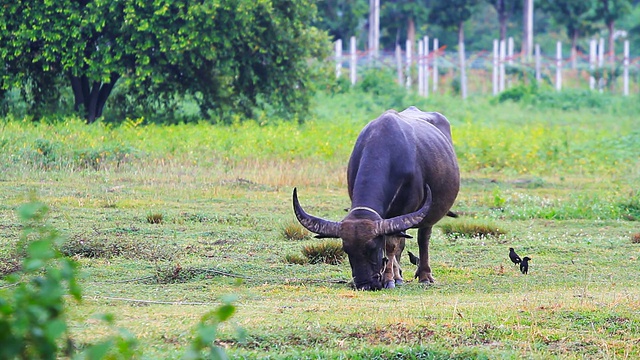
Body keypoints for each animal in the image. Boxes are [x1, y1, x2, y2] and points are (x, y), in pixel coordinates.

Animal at [292, 106, 458, 290]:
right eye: (346, 250)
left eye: (372, 248)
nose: (364, 284)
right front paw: (392, 277)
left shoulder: (404, 209)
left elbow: (391, 245)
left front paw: (389, 279)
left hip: (430, 214)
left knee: (423, 238)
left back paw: (424, 276)